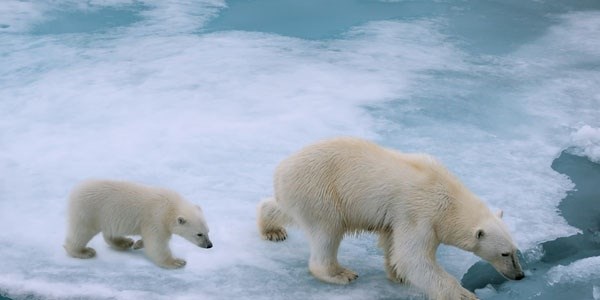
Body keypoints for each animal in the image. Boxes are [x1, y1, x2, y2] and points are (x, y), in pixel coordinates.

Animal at [258, 138, 524, 300]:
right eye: (504, 254)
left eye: (516, 250)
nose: (520, 276)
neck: (447, 194)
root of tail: (280, 170)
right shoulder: (421, 213)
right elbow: (413, 257)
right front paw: (463, 294)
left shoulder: (400, 217)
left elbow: (393, 243)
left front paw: (397, 274)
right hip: (321, 192)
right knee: (327, 232)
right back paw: (340, 273)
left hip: (300, 195)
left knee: (285, 210)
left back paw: (272, 228)